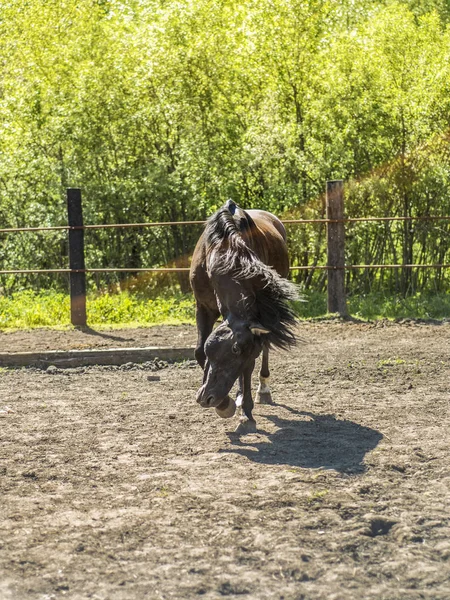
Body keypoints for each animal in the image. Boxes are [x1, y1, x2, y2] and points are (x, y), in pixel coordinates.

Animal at [190, 199, 298, 434]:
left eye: (236, 350)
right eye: (211, 351)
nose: (205, 398)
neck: (223, 246)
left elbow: (247, 366)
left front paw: (243, 413)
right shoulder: (203, 308)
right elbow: (199, 352)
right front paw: (225, 402)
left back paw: (262, 390)